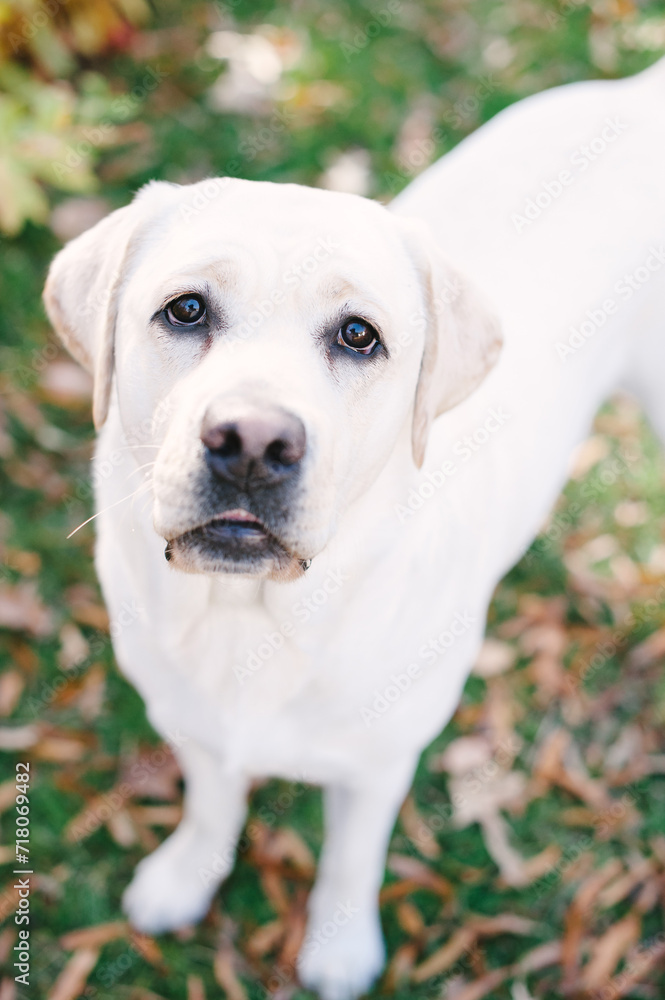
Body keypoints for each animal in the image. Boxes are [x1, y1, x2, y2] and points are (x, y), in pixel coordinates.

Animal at [42, 56, 664, 1000]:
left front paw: (337, 948)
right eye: (185, 311)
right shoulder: (189, 719)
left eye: (359, 336)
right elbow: (211, 806)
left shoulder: (380, 761)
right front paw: (185, 876)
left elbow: (350, 855)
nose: (252, 443)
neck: (254, 618)